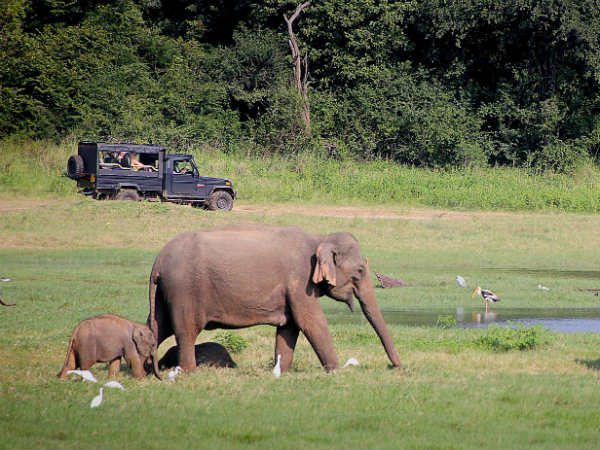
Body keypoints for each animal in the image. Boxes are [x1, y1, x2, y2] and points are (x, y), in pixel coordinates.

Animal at [145, 223, 400, 374]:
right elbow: (311, 321)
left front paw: (281, 372)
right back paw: (188, 372)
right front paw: (336, 371)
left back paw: (146, 370)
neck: (319, 238)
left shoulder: (293, 289)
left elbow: (289, 327)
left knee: (156, 326)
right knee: (186, 330)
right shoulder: (300, 281)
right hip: (184, 291)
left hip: (166, 293)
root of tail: (158, 261)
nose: (395, 366)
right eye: (360, 271)